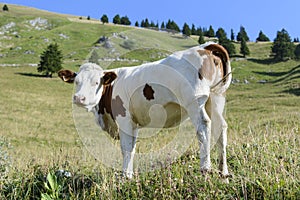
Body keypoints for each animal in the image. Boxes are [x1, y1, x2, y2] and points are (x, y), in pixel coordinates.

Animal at [58, 42, 232, 181]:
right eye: (76, 82)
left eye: (96, 82)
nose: (79, 98)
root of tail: (205, 47)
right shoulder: (133, 123)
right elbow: (132, 148)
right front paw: (129, 174)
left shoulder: (124, 119)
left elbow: (126, 148)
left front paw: (125, 177)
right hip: (216, 98)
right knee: (220, 128)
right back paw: (223, 173)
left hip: (194, 102)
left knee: (203, 127)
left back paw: (205, 170)